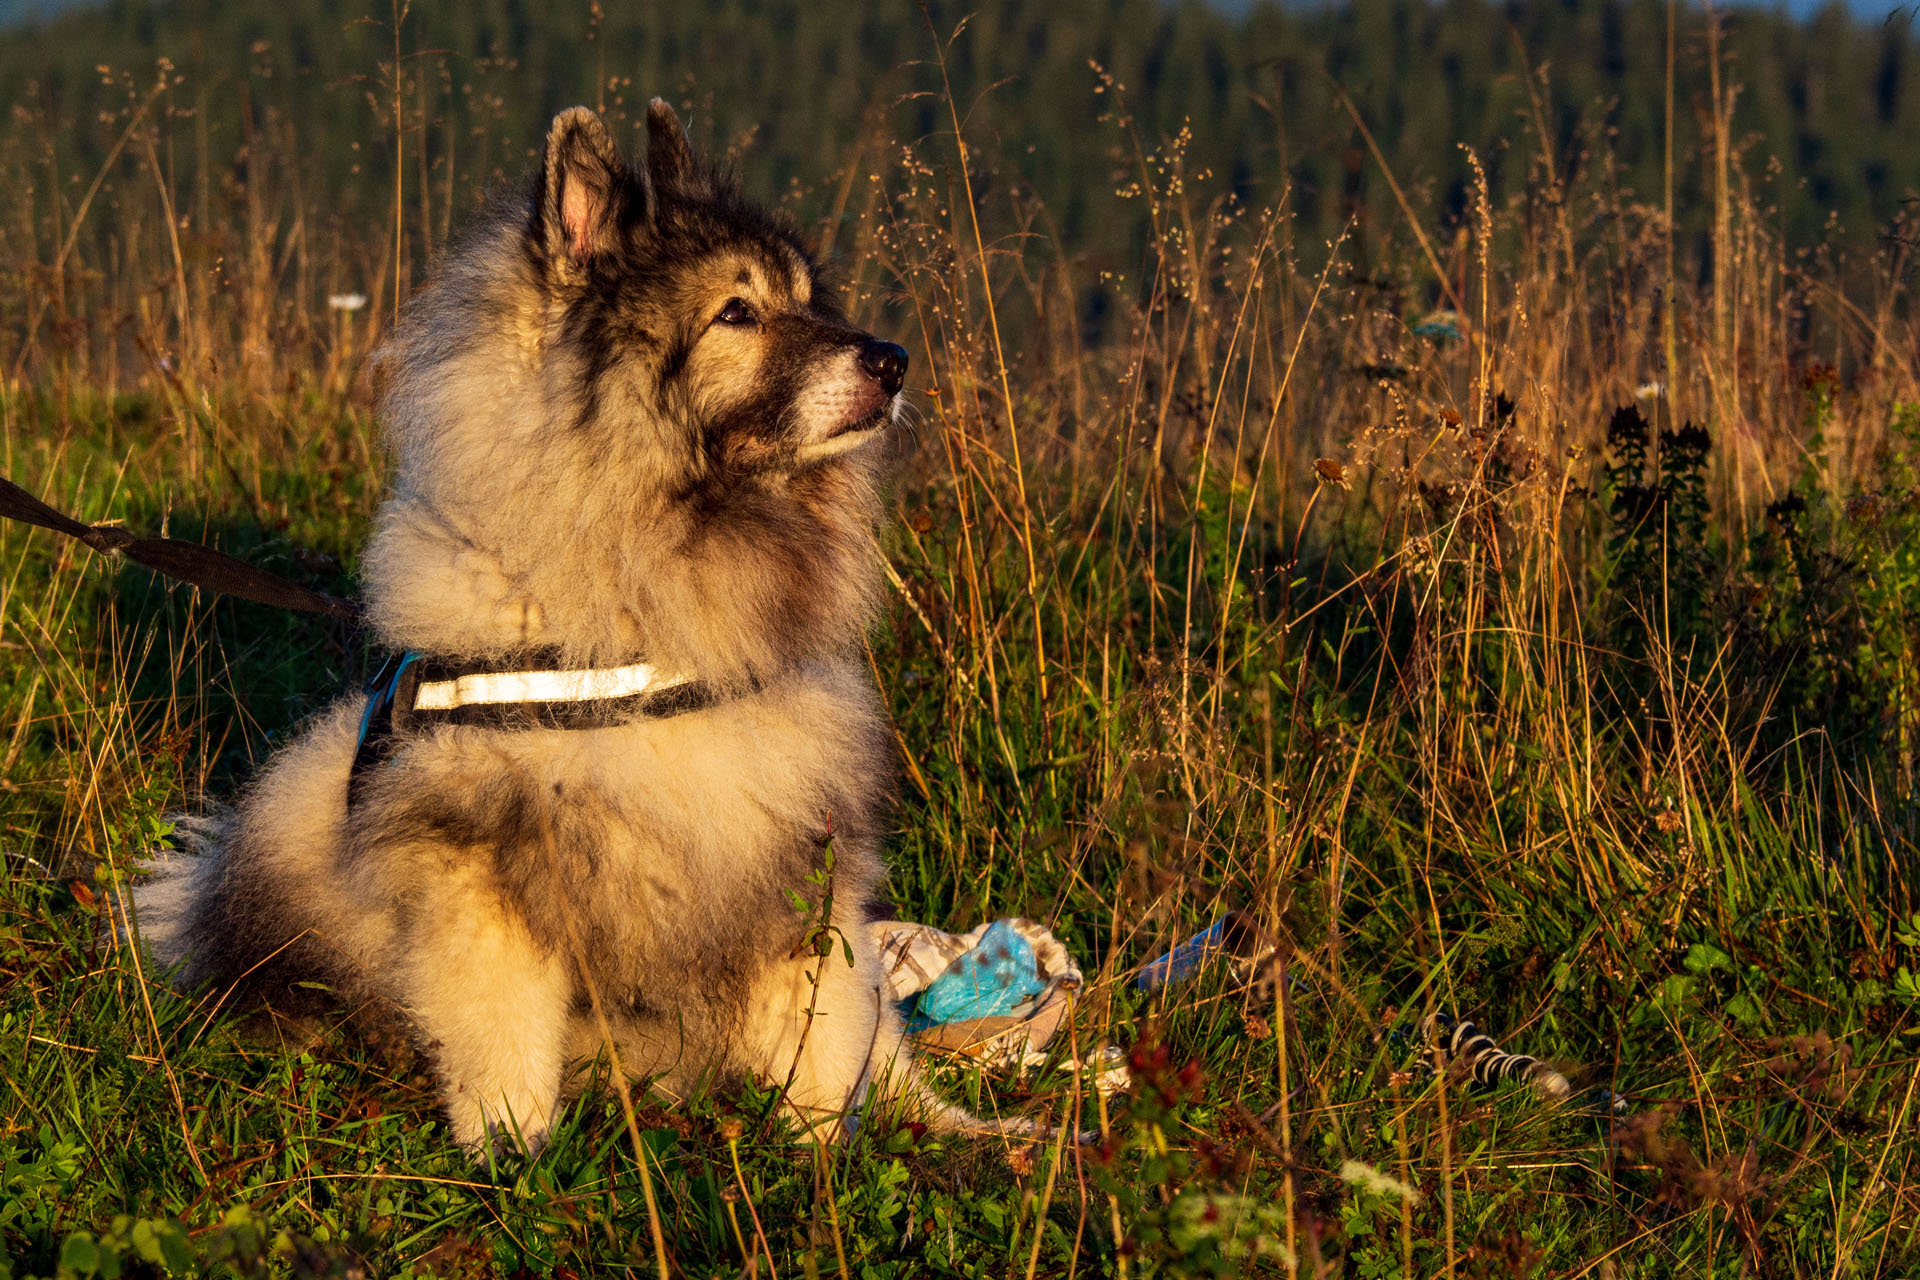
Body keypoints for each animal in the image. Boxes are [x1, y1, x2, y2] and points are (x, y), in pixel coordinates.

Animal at [131, 102, 1021, 1159]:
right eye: (738, 313)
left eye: (811, 302)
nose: (892, 360)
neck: (655, 607)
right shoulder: (485, 885)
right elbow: (502, 1044)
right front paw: (515, 1159)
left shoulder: (800, 875)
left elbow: (830, 1046)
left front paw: (826, 1156)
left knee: (891, 1050)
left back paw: (987, 1133)